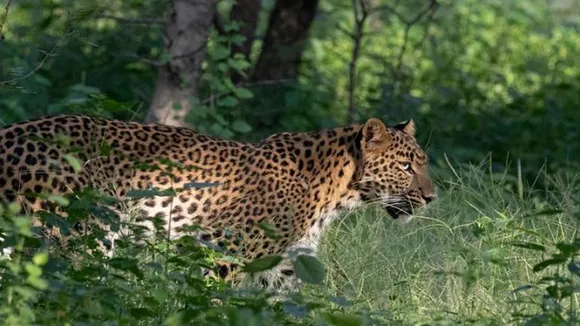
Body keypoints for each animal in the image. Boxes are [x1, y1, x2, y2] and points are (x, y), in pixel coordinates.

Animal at [0, 114, 436, 290]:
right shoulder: (224, 249)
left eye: (424, 163)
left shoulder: (284, 267)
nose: (433, 197)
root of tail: (10, 134)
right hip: (77, 235)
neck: (335, 194)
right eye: (406, 166)